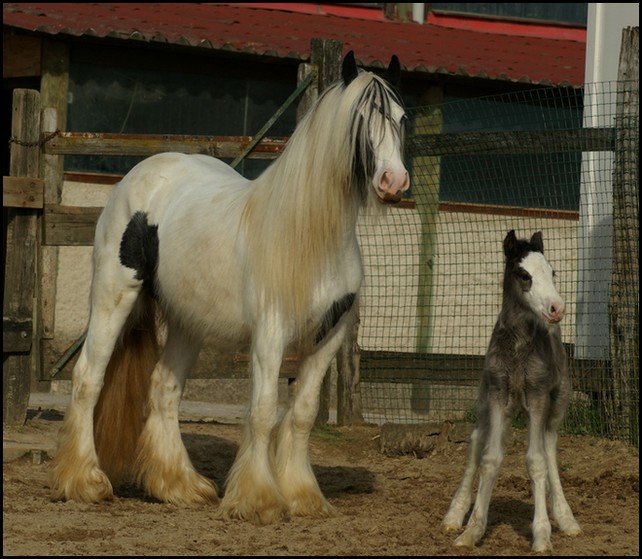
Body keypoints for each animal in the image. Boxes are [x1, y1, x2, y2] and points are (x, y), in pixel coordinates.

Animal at [51, 51, 410, 524]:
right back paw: (85, 482)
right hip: (114, 296)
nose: (393, 182)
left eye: (403, 119)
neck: (313, 239)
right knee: (87, 378)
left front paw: (303, 496)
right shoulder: (271, 334)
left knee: (164, 388)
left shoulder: (329, 336)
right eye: (359, 119)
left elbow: (303, 413)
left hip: (188, 321)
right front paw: (259, 500)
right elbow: (262, 411)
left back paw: (179, 487)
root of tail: (142, 174)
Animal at [442, 231, 576, 552]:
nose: (557, 308)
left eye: (552, 272)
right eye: (524, 274)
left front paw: (542, 536)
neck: (516, 349)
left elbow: (537, 461)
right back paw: (454, 514)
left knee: (549, 447)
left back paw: (566, 519)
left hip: (556, 404)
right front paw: (470, 531)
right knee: (478, 441)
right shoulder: (497, 395)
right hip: (487, 404)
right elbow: (489, 458)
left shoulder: (537, 397)